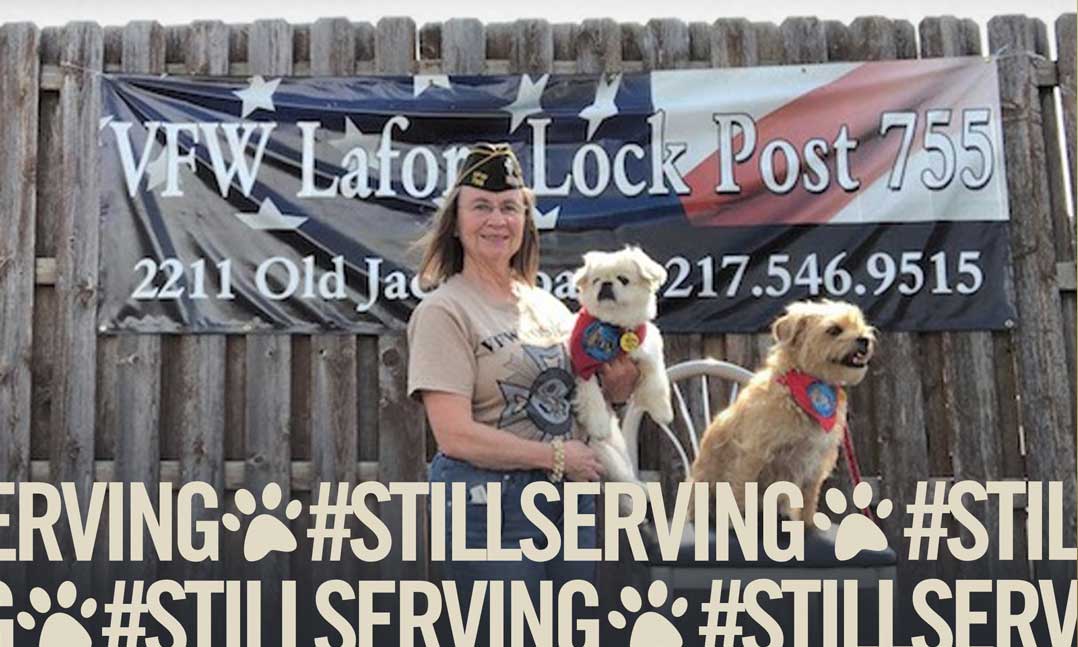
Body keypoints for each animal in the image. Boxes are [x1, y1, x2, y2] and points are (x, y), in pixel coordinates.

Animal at [573, 248, 672, 485]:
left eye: (623, 280)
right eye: (596, 280)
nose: (606, 284)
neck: (615, 329)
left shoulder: (649, 348)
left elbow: (656, 379)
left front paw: (662, 411)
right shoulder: (584, 370)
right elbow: (592, 397)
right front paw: (599, 425)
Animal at [689, 299, 875, 528]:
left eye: (860, 325)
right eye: (834, 330)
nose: (864, 339)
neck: (805, 384)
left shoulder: (814, 462)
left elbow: (808, 498)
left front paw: (808, 524)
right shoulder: (753, 455)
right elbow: (741, 493)